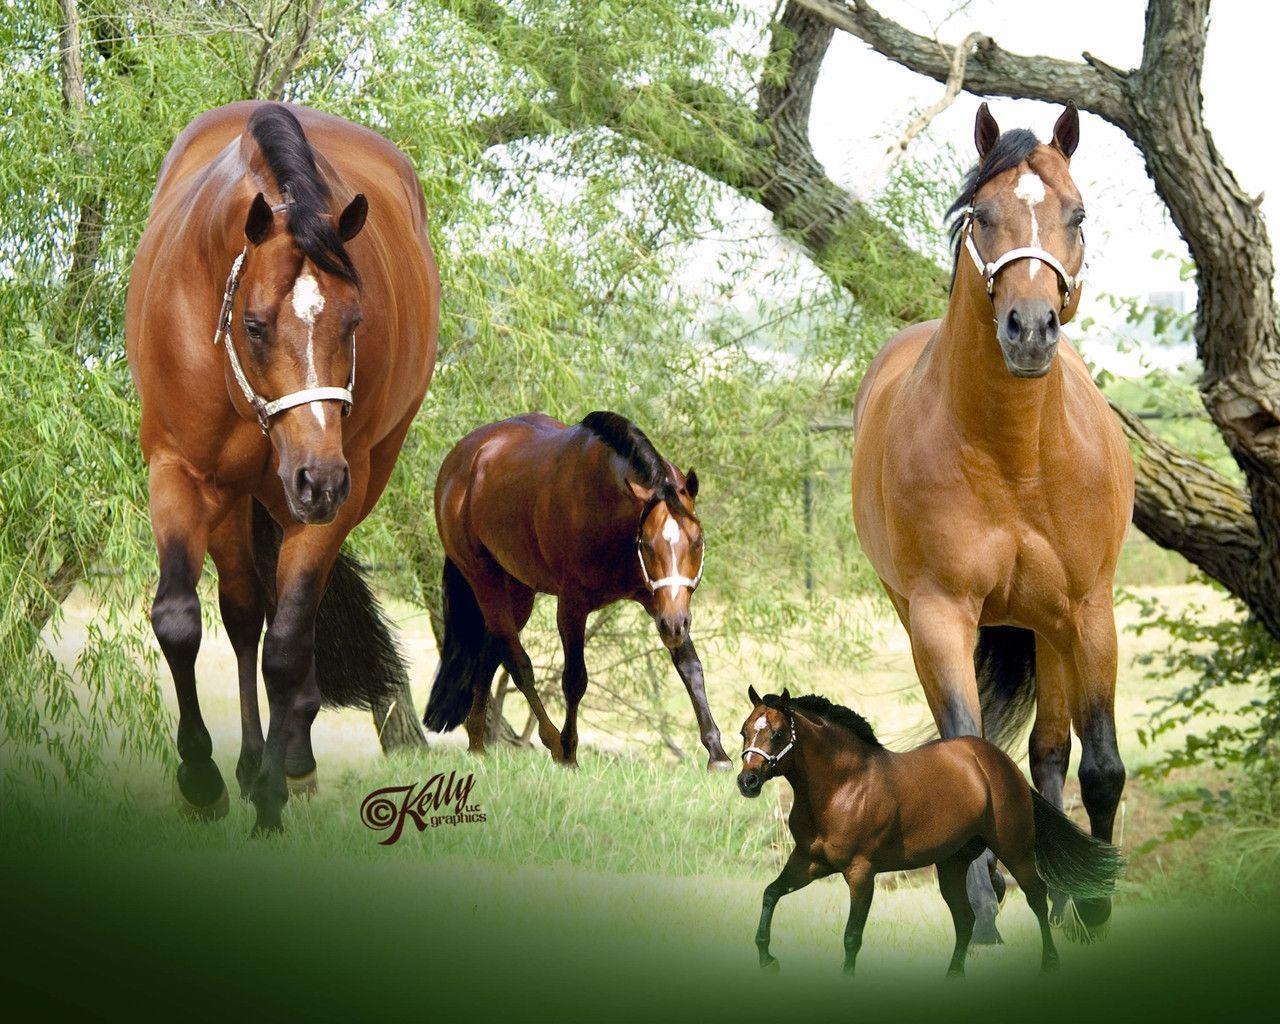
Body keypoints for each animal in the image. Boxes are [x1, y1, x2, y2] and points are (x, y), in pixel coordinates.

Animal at [126, 102, 439, 833]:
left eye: (355, 321)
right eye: (256, 324)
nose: (317, 480)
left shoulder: (335, 494)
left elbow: (290, 645)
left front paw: (271, 790)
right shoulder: (179, 473)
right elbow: (180, 620)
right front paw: (202, 778)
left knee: (285, 625)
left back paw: (290, 760)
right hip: (239, 498)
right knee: (243, 614)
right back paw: (243, 763)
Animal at [424, 411, 731, 769]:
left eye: (696, 541)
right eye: (646, 543)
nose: (674, 625)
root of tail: (460, 459)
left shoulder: (661, 601)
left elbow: (690, 668)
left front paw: (718, 754)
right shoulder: (572, 606)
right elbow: (574, 679)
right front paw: (570, 752)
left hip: (518, 590)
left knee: (491, 650)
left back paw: (476, 742)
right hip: (484, 579)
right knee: (518, 662)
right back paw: (552, 742)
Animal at [737, 688, 1122, 978]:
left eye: (777, 734)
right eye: (744, 731)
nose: (747, 781)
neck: (841, 787)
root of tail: (1000, 764)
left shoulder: (861, 872)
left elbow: (852, 935)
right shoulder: (810, 861)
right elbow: (770, 894)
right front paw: (767, 959)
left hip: (1016, 850)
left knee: (1037, 899)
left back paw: (1049, 963)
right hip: (952, 864)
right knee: (965, 919)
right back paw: (953, 975)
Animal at [851, 102, 1134, 942]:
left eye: (1077, 214)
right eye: (981, 214)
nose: (1030, 327)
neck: (1014, 453)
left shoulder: (1089, 610)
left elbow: (1100, 766)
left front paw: (1093, 905)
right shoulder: (941, 613)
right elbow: (964, 753)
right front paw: (982, 904)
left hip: (1048, 625)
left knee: (1049, 752)